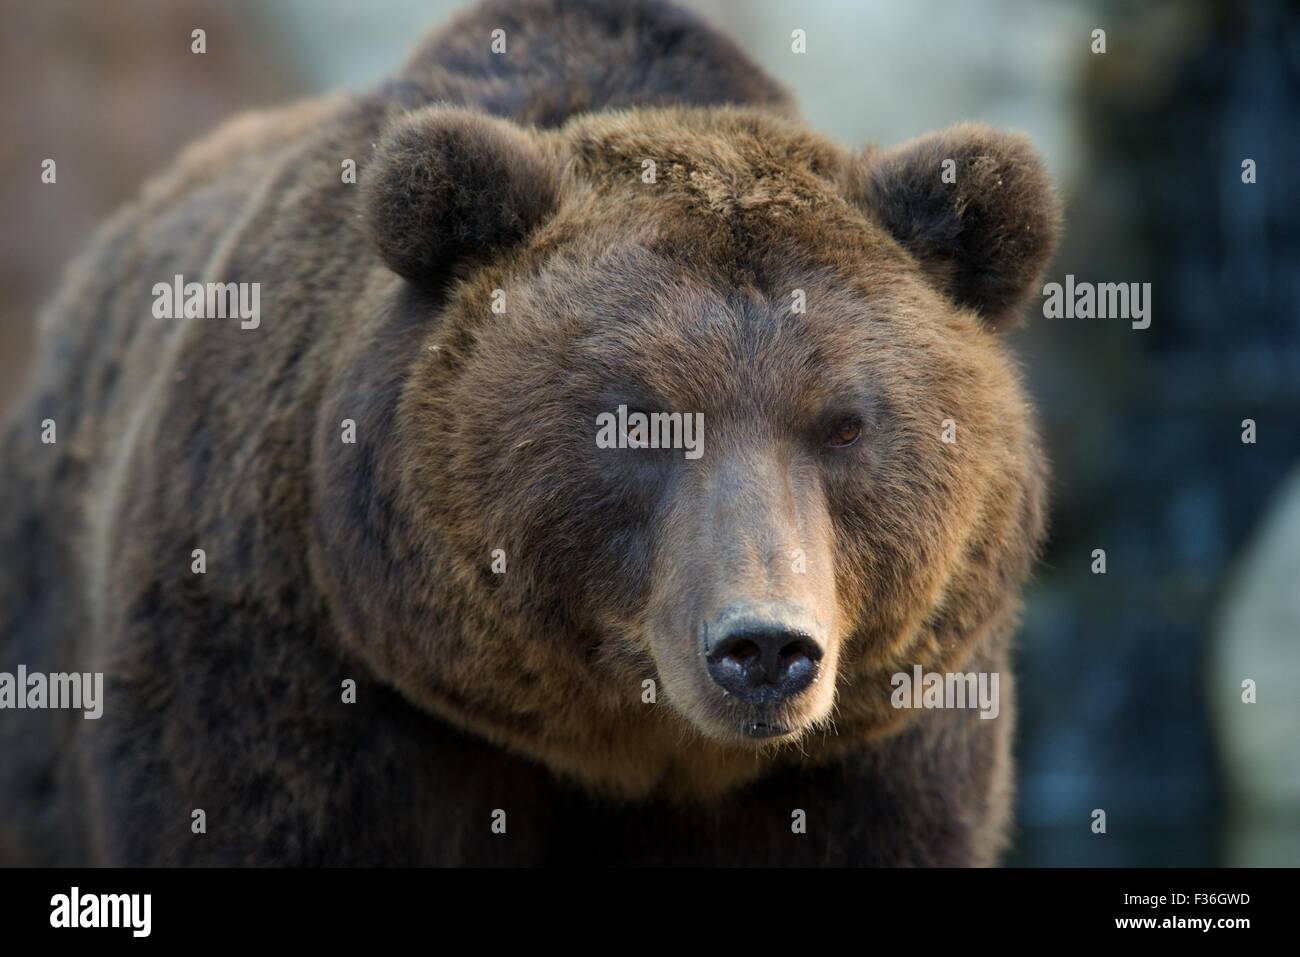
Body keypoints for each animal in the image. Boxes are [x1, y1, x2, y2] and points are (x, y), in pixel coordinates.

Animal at [0, 0, 1057, 866]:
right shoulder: (295, 665)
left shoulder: (881, 749)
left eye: (844, 425)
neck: (624, 743)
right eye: (637, 419)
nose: (763, 648)